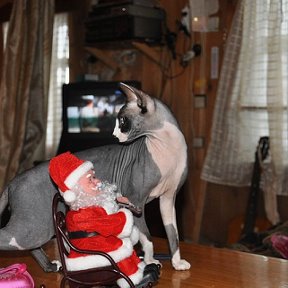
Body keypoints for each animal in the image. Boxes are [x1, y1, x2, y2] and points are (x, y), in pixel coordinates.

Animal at [0, 83, 190, 272]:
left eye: (122, 121)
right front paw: (150, 261)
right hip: (32, 227)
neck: (166, 146)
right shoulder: (136, 201)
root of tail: (12, 182)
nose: (113, 135)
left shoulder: (168, 200)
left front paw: (177, 262)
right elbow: (148, 238)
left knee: (32, 247)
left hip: (42, 225)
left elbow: (173, 234)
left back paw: (50, 266)